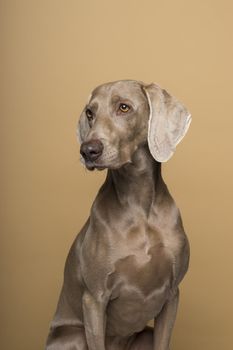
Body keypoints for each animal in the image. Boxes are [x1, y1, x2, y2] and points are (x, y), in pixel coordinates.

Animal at [45, 80, 191, 350]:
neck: (140, 205)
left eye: (124, 107)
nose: (88, 150)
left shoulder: (172, 295)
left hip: (144, 335)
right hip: (74, 336)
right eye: (90, 113)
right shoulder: (94, 299)